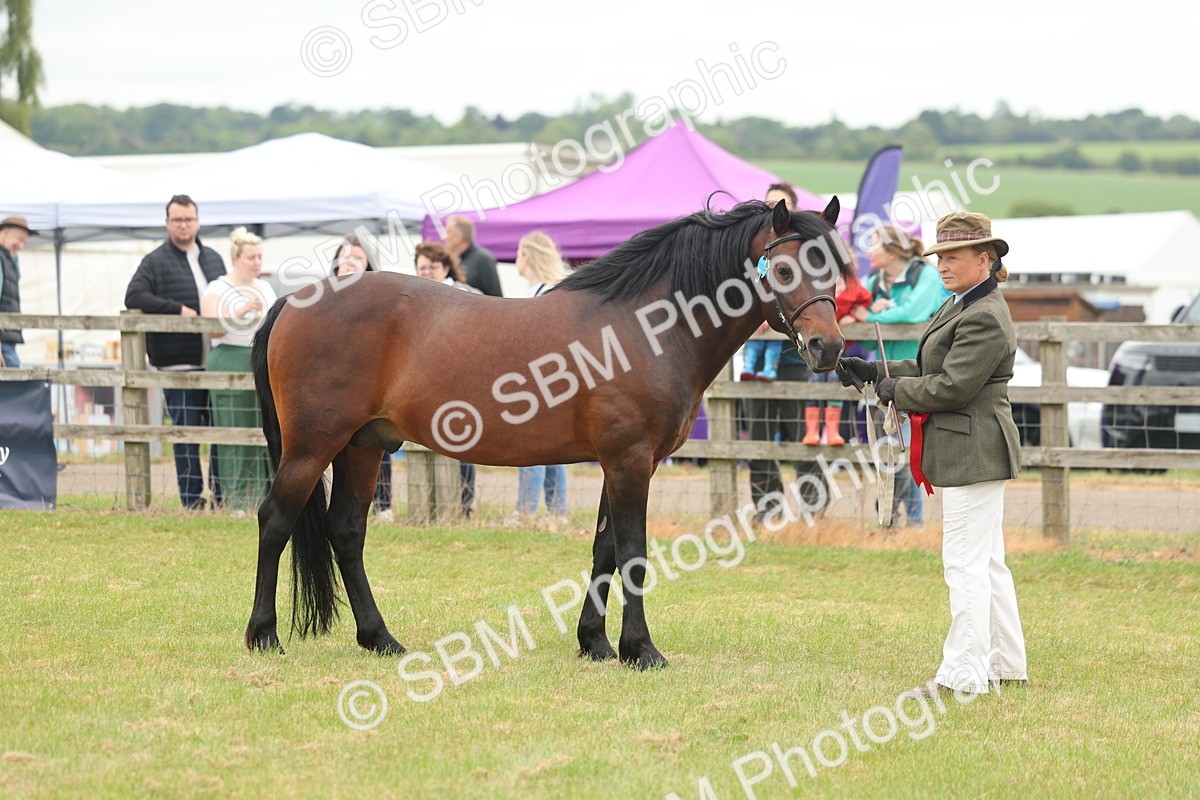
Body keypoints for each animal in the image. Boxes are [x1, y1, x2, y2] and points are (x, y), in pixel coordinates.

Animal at [245, 197, 853, 669]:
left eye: (834, 271)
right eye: (783, 271)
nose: (829, 349)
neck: (644, 327)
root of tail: (294, 300)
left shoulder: (621, 461)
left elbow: (604, 549)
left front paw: (596, 644)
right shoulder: (630, 459)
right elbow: (632, 550)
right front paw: (641, 650)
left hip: (364, 446)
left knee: (347, 531)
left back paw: (380, 638)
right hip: (312, 447)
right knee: (276, 520)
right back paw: (264, 635)